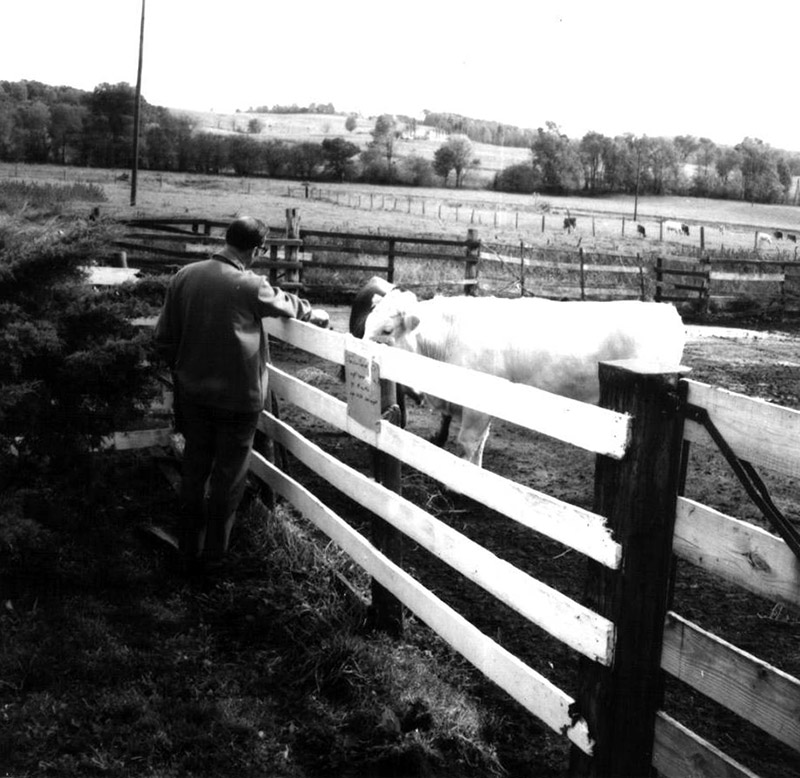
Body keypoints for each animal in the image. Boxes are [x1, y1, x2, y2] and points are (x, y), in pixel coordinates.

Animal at [360, 292, 680, 466]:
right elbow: (480, 444)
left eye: (387, 330)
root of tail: (666, 309)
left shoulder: (476, 406)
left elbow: (467, 443)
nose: (357, 351)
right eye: (366, 323)